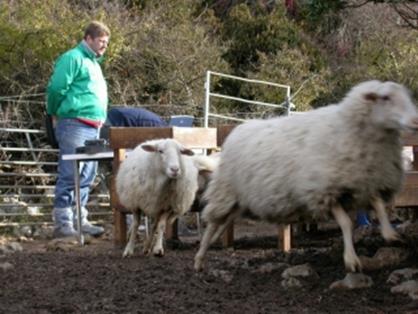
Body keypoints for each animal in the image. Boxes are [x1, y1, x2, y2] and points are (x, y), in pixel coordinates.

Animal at [194, 79, 418, 272]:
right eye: (386, 98)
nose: (415, 120)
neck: (348, 129)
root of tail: (236, 131)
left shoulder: (366, 181)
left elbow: (379, 207)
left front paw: (391, 235)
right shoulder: (323, 191)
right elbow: (347, 223)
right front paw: (351, 260)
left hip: (239, 201)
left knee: (221, 224)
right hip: (226, 192)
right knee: (212, 224)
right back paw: (199, 259)